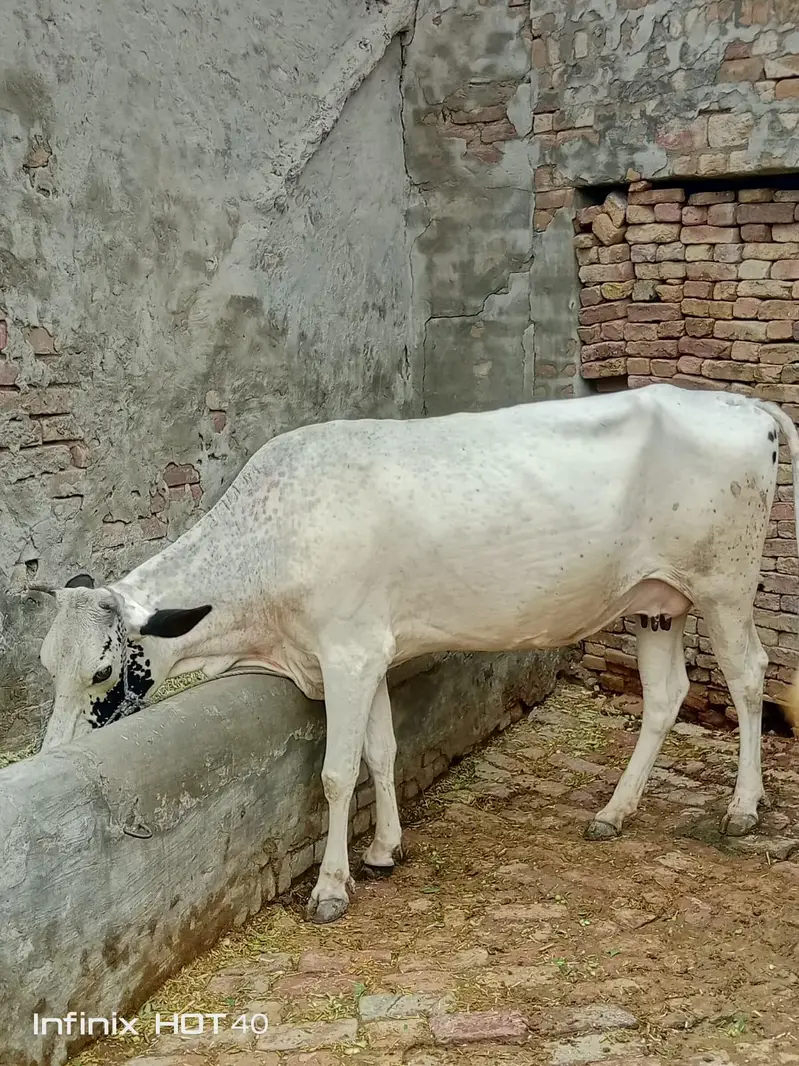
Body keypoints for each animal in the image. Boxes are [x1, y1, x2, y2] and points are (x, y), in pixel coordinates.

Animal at [29, 383, 799, 923]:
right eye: (47, 665)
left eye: (101, 669)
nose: (51, 754)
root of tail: (745, 404)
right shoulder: (367, 651)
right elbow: (381, 751)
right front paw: (382, 850)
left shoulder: (345, 653)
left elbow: (337, 772)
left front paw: (331, 887)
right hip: (654, 602)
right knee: (666, 696)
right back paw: (614, 812)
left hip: (724, 586)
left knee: (747, 678)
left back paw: (743, 806)